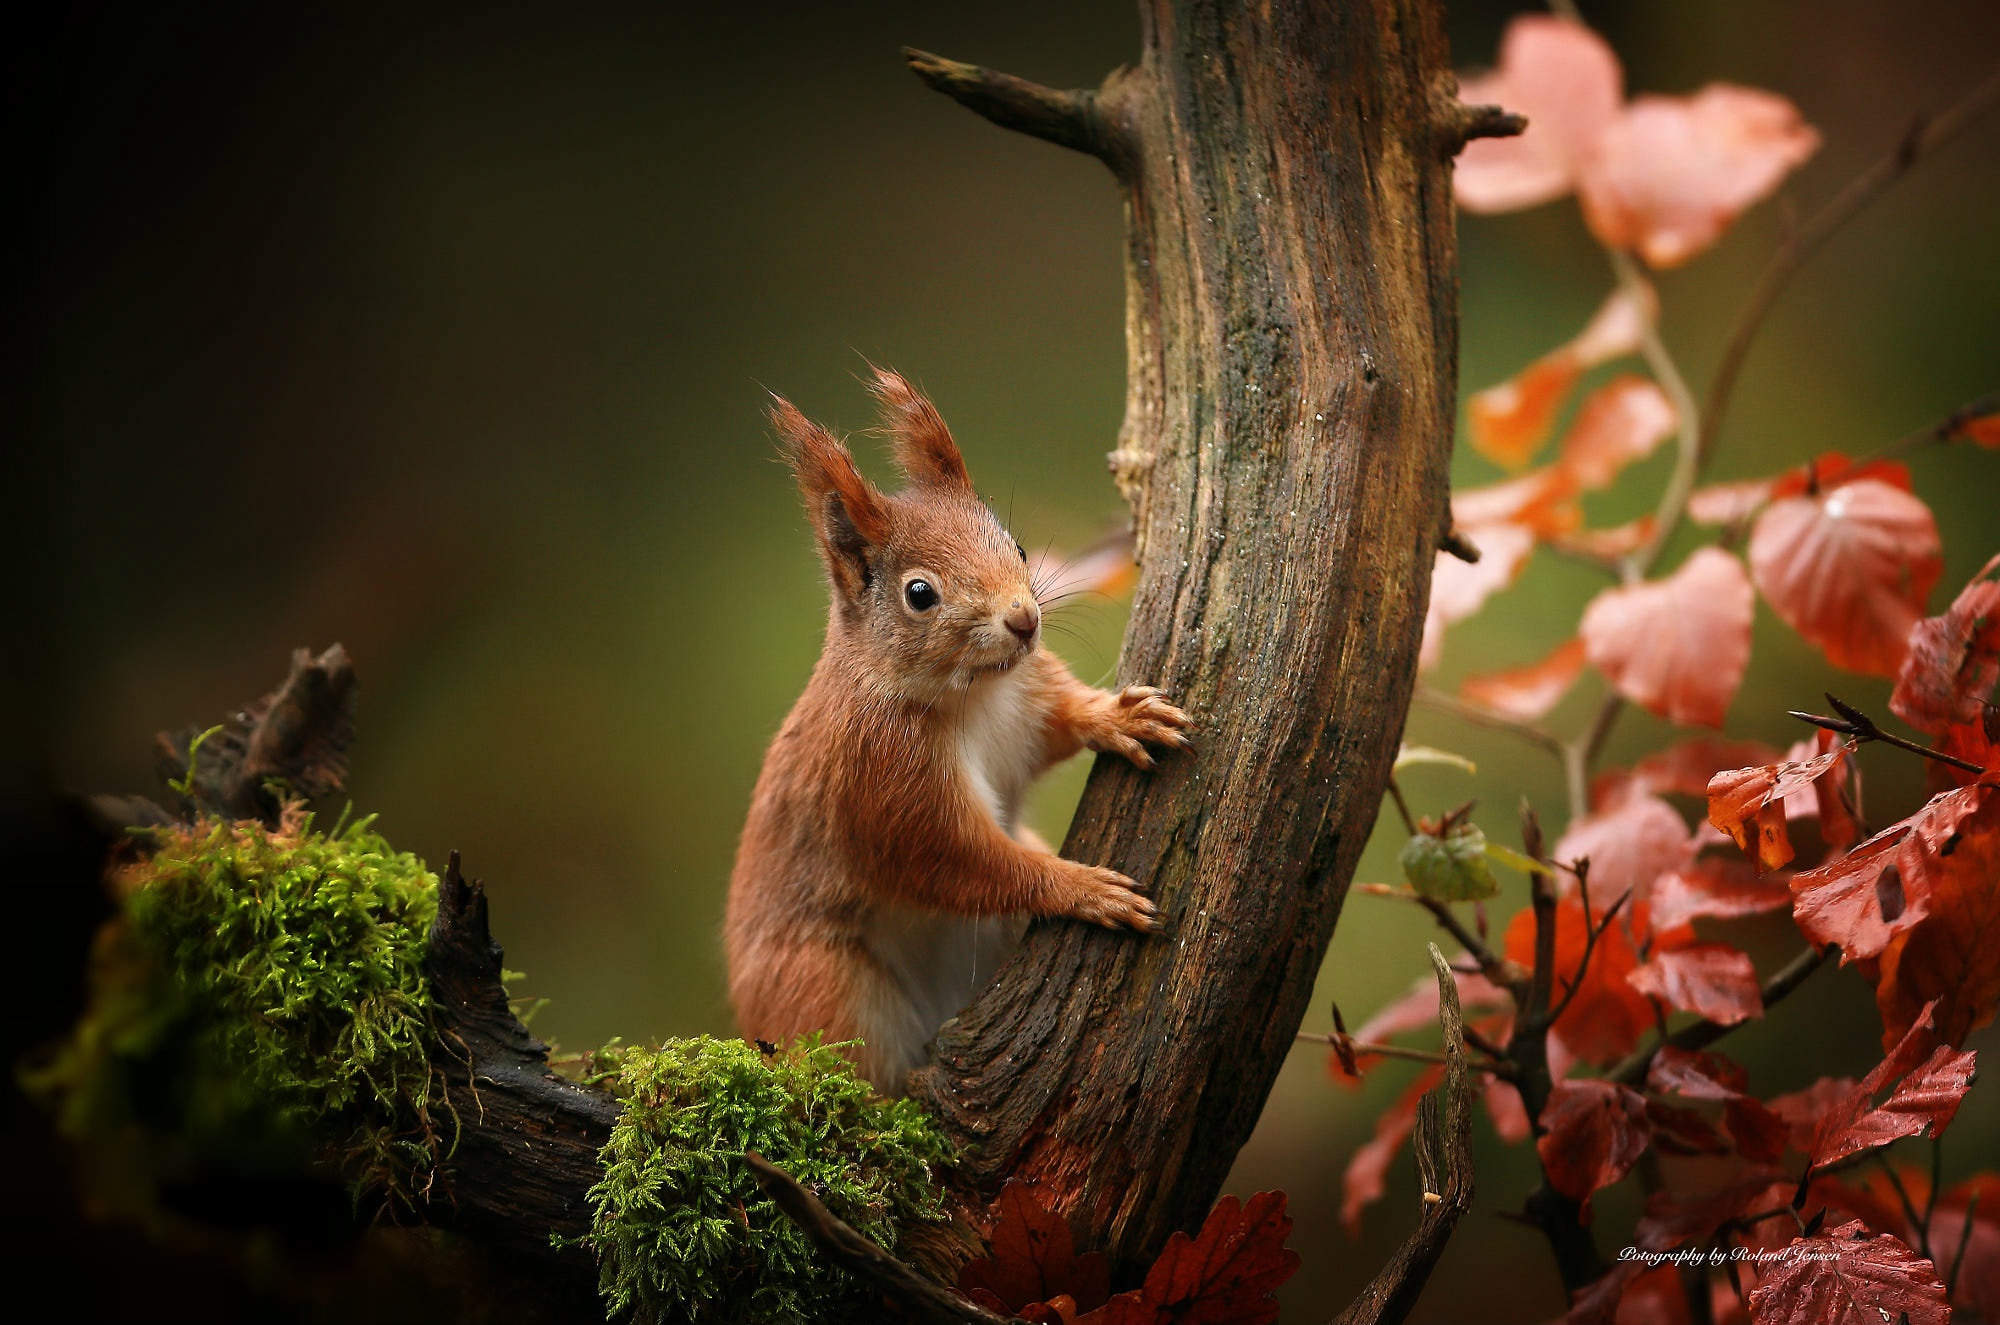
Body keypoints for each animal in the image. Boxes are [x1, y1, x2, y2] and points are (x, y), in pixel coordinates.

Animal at [732, 370, 1184, 1088]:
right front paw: (1085, 889)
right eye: (920, 594)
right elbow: (961, 861)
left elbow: (1059, 721)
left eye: (1018, 547)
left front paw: (1114, 715)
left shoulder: (1026, 701)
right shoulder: (884, 780)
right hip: (822, 984)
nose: (1024, 619)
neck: (971, 696)